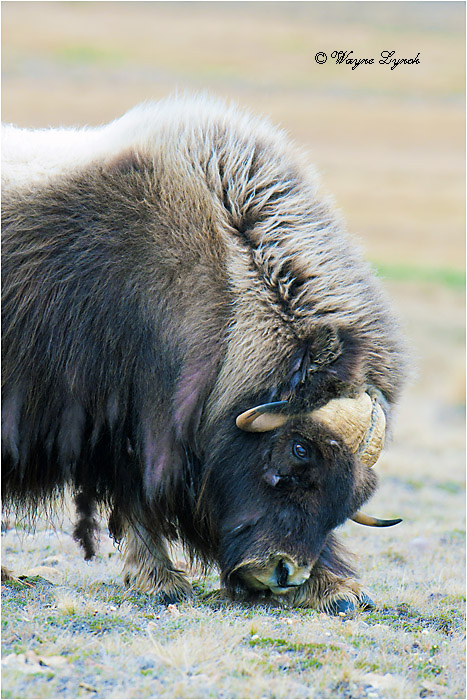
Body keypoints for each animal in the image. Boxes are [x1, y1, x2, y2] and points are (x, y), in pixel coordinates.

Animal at [2, 95, 408, 613]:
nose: (285, 573)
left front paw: (337, 589)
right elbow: (141, 498)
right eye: (301, 448)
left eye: (360, 492)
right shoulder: (139, 420)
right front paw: (160, 580)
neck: (228, 298)